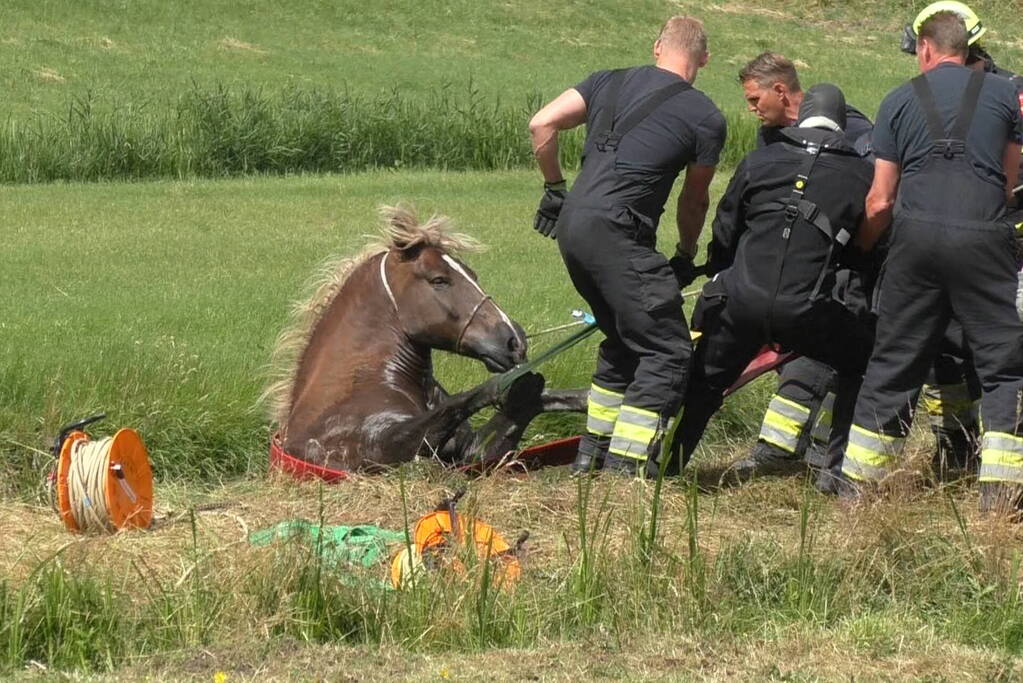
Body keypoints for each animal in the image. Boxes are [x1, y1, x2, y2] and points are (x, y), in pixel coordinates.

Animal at [266, 205, 585, 472]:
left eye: (473, 275)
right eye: (439, 280)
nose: (513, 341)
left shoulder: (470, 453)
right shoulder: (385, 447)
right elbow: (463, 401)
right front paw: (515, 383)